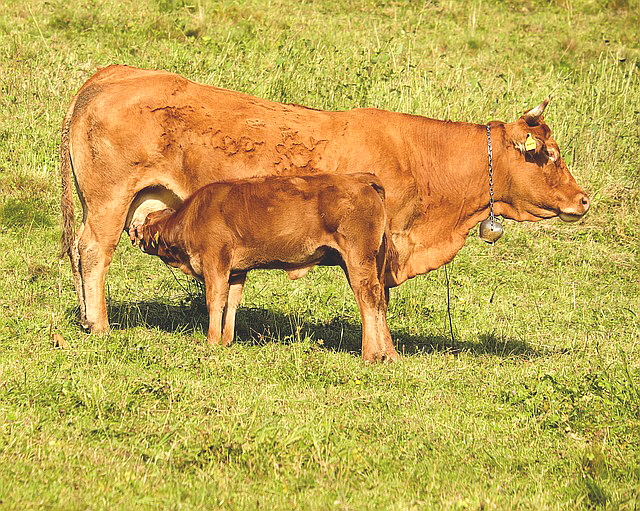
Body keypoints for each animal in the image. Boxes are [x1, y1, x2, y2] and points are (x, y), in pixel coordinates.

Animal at [60, 65, 590, 341]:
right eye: (546, 154)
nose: (584, 200)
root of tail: (115, 73)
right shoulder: (375, 246)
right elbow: (373, 296)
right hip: (109, 200)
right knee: (93, 253)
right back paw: (98, 325)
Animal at [131, 173, 398, 362]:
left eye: (146, 224)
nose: (134, 234)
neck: (192, 217)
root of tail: (359, 178)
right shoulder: (237, 271)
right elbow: (232, 302)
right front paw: (227, 340)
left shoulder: (215, 261)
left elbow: (215, 300)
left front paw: (212, 340)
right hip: (368, 261)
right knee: (380, 300)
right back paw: (389, 355)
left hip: (357, 256)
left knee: (368, 297)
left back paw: (371, 354)